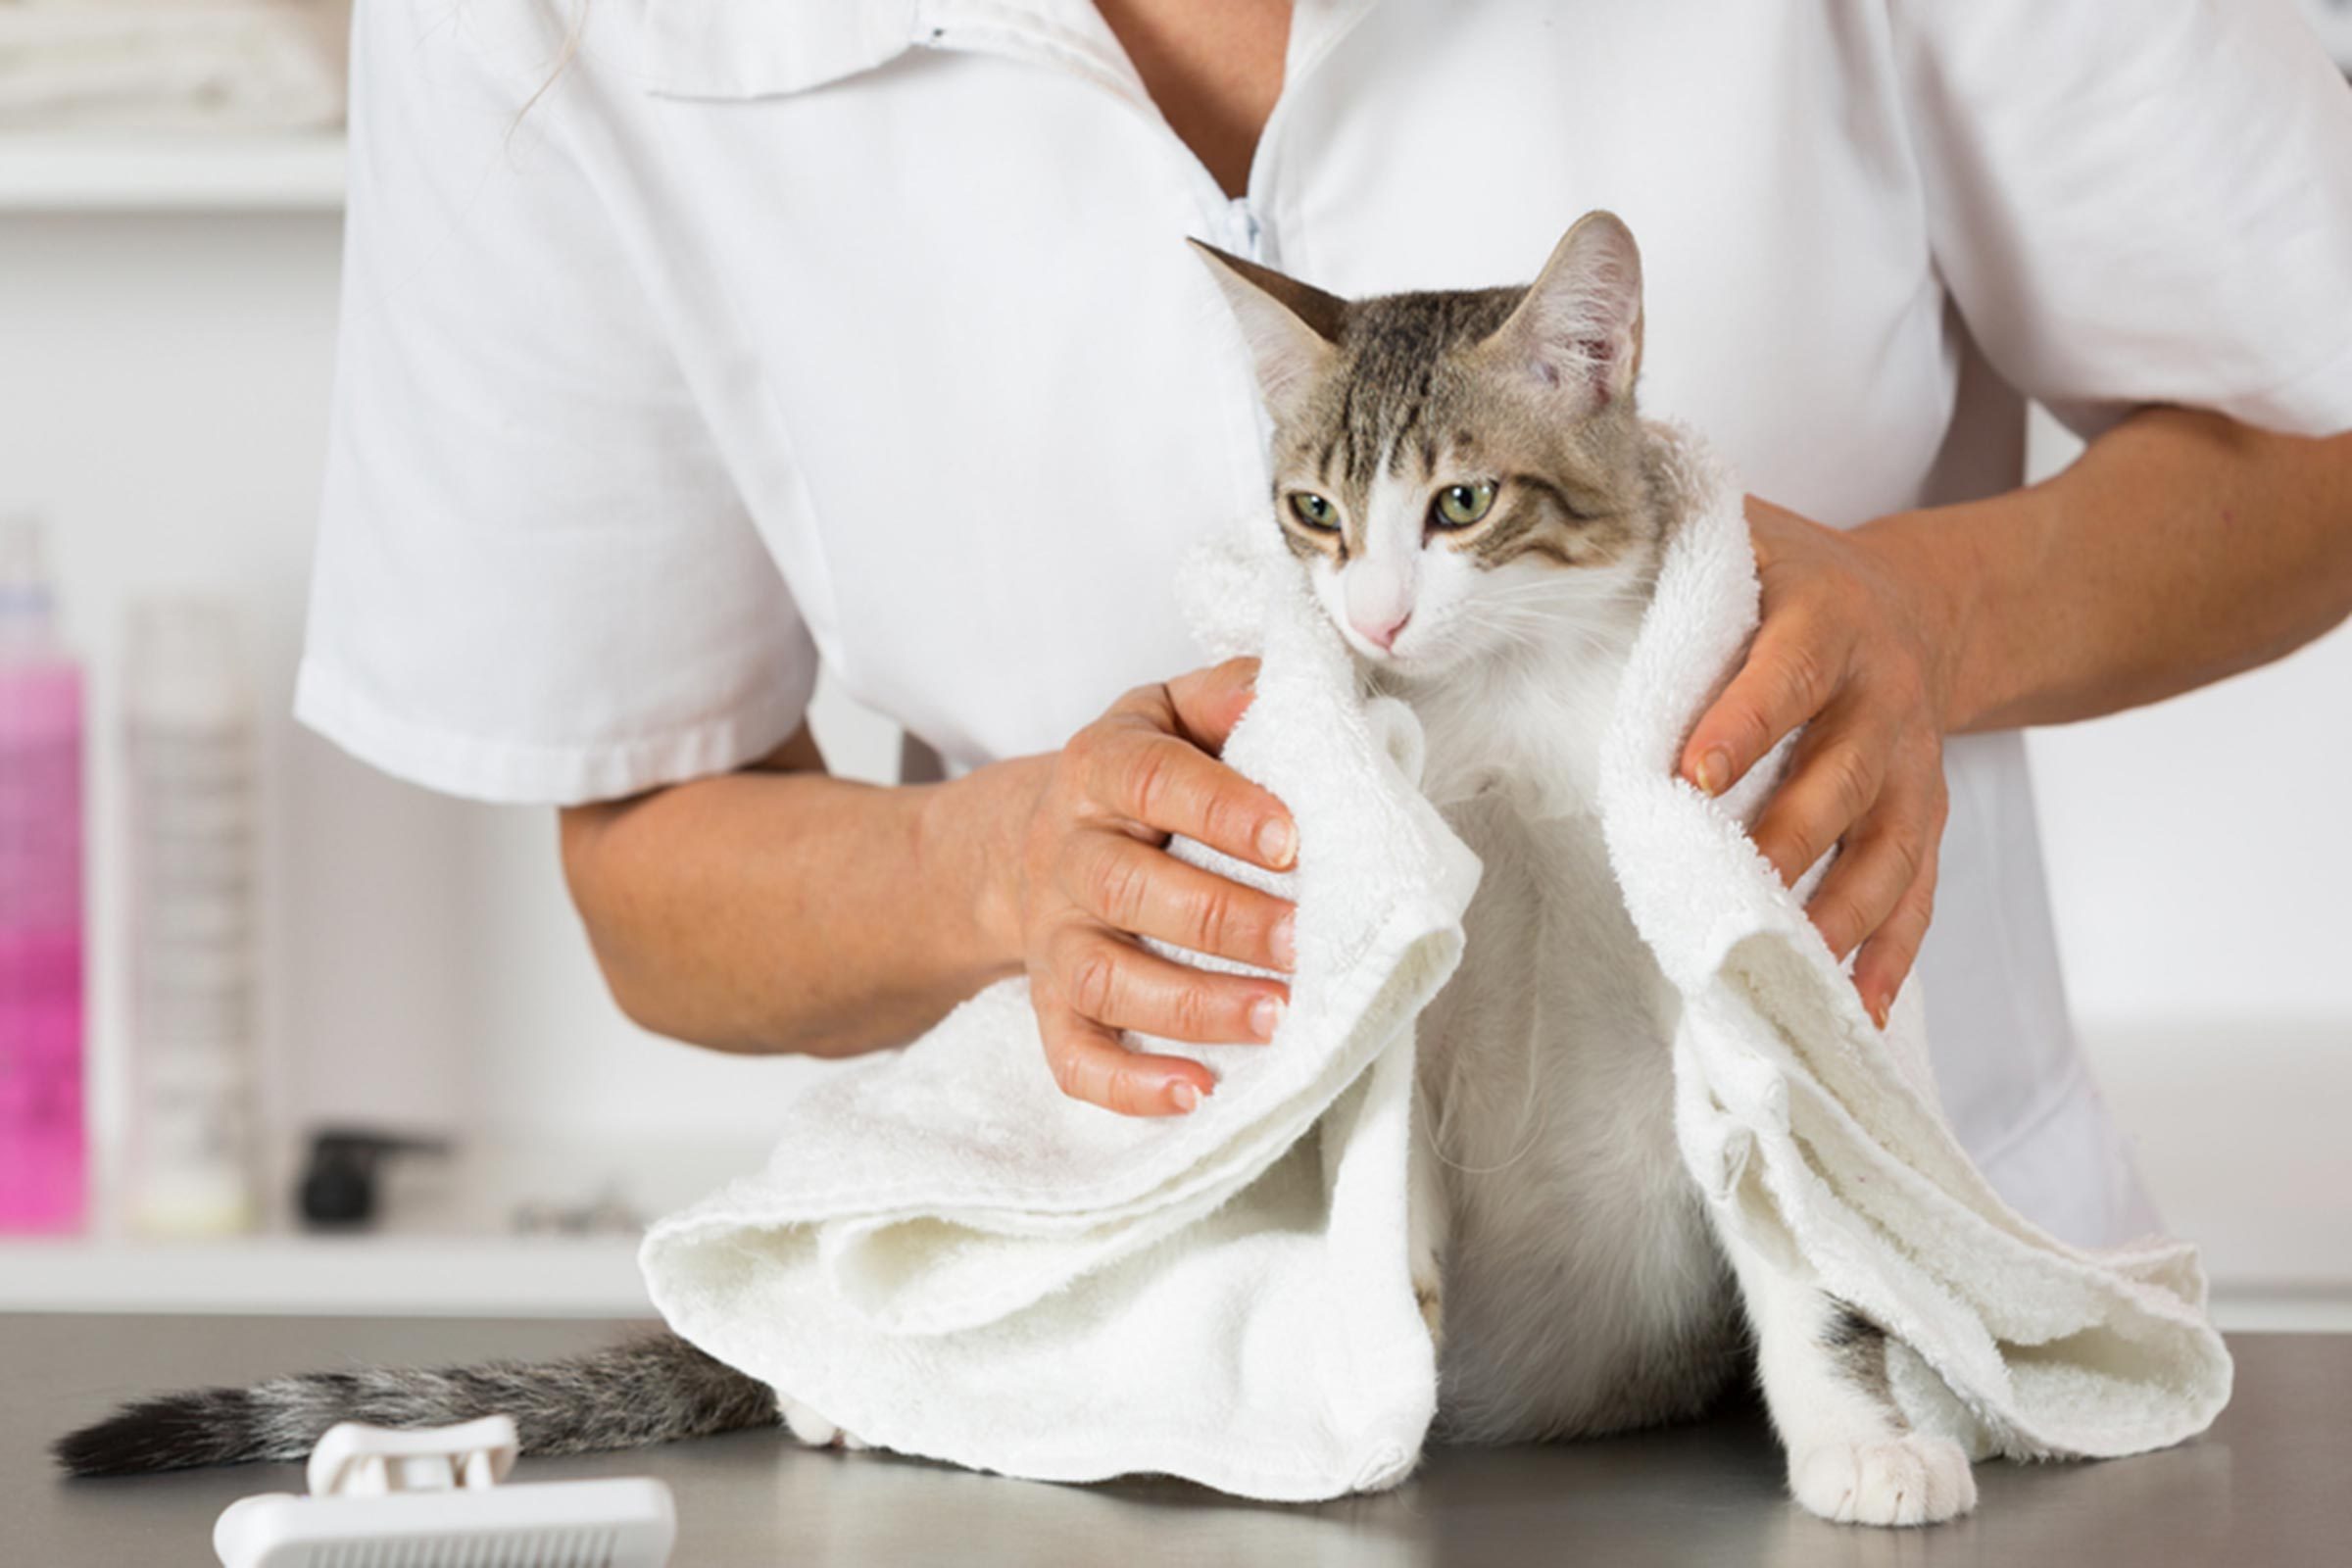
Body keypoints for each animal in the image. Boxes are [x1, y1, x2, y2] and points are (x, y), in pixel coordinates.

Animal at [45, 215, 1976, 1523]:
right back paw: (864, 1384)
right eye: (1315, 514)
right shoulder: (1380, 934)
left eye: (1464, 505)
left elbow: (1789, 1212)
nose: (1369, 618)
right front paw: (1377, 1325)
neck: (1503, 718)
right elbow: (1389, 1126)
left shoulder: (1717, 916)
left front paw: (1859, 1434)